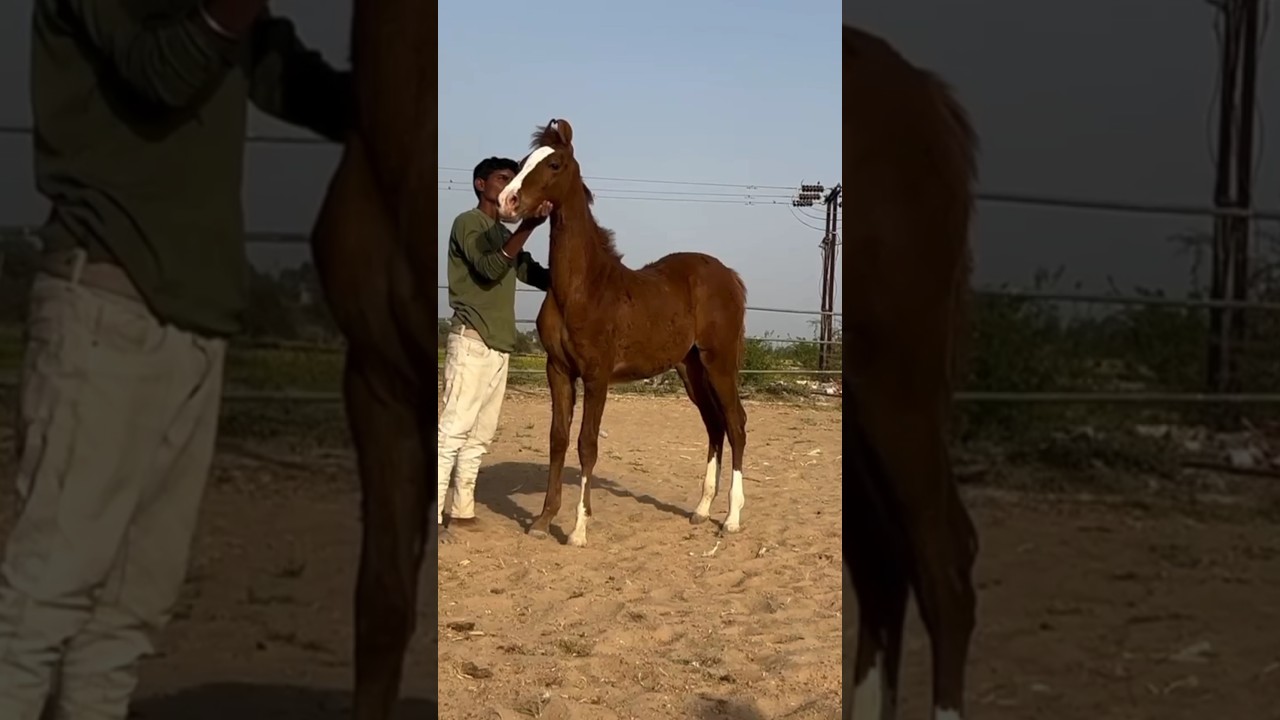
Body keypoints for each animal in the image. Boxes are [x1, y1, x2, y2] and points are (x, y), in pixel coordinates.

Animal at [496, 119, 749, 548]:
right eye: (521, 161)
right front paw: (544, 520)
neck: (581, 287)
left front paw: (579, 530)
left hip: (720, 363)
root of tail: (729, 276)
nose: (507, 201)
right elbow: (558, 438)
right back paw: (701, 511)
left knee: (736, 424)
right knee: (714, 425)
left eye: (555, 164)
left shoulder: (597, 376)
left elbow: (587, 444)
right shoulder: (557, 370)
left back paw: (731, 519)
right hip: (691, 369)